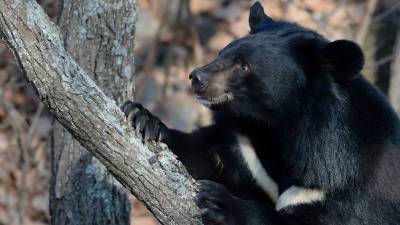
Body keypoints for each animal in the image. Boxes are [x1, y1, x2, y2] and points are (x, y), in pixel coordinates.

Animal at [122, 2, 400, 225]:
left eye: (244, 66)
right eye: (222, 52)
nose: (196, 77)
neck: (278, 126)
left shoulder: (344, 185)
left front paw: (220, 202)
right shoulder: (246, 147)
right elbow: (204, 155)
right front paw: (144, 119)